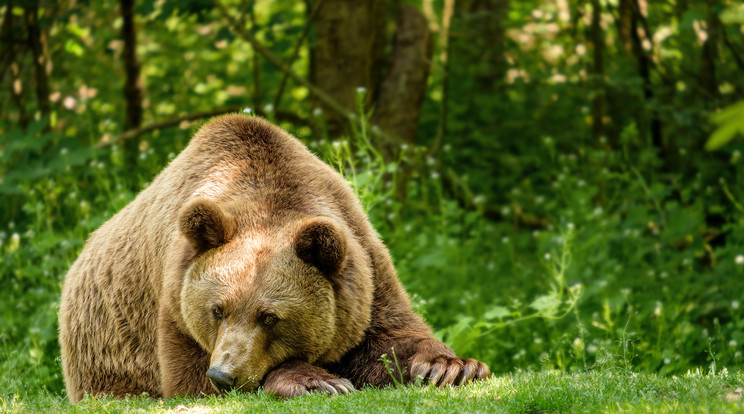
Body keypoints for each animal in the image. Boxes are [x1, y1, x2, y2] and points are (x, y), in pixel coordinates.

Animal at [56, 113, 488, 402]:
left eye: (270, 316)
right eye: (217, 309)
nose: (224, 374)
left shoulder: (363, 267)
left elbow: (391, 335)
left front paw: (452, 367)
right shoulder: (175, 303)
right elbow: (189, 378)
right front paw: (317, 380)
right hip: (105, 351)